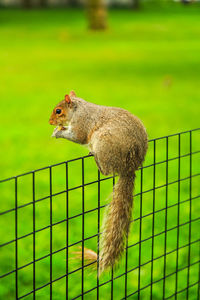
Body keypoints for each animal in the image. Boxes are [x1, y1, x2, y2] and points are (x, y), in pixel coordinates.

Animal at [49, 91, 148, 274]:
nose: (50, 122)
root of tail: (130, 166)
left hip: (102, 142)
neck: (79, 108)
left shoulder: (82, 123)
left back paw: (95, 157)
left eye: (58, 111)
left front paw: (58, 132)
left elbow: (78, 136)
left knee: (107, 171)